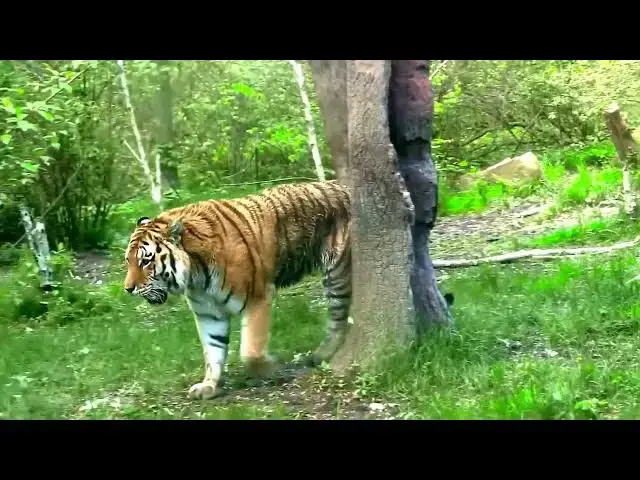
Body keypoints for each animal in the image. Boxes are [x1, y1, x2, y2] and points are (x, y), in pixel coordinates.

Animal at [123, 180, 353, 400]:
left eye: (145, 261)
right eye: (128, 260)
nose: (128, 289)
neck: (196, 277)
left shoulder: (258, 298)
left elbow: (250, 351)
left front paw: (273, 368)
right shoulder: (209, 313)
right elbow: (213, 350)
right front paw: (208, 386)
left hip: (336, 272)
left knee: (339, 319)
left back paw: (322, 354)